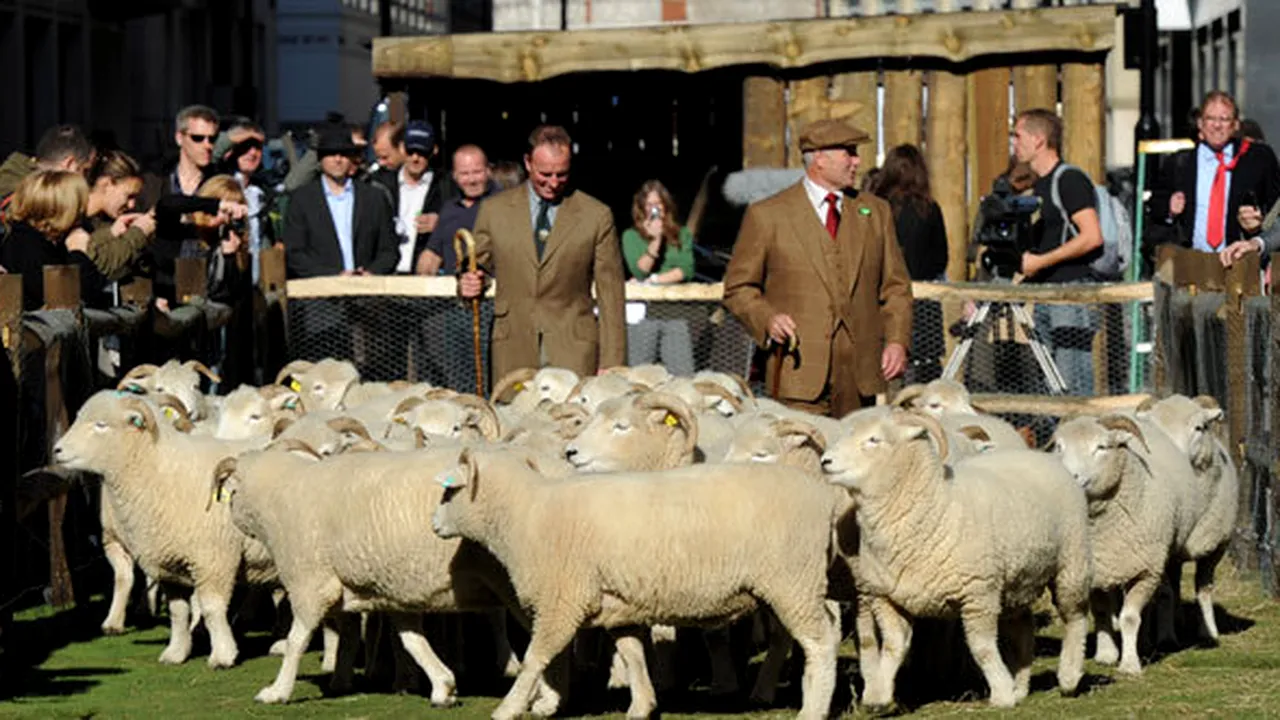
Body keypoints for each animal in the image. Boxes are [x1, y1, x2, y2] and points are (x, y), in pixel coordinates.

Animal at [432, 448, 839, 717]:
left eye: (450, 491)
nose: (434, 525)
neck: (525, 515)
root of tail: (826, 499)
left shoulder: (561, 600)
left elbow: (536, 657)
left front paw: (510, 706)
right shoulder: (617, 604)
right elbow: (632, 655)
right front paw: (642, 705)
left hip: (793, 579)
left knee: (820, 643)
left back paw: (812, 710)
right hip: (789, 585)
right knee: (811, 635)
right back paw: (792, 695)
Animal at [819, 409, 1090, 707]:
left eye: (873, 439)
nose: (825, 461)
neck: (935, 507)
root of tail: (1040, 455)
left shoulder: (979, 594)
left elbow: (982, 648)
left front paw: (1001, 694)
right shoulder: (886, 596)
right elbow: (892, 646)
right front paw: (878, 695)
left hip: (1072, 562)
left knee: (1075, 618)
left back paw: (1068, 678)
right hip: (1017, 581)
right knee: (1023, 629)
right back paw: (1020, 687)